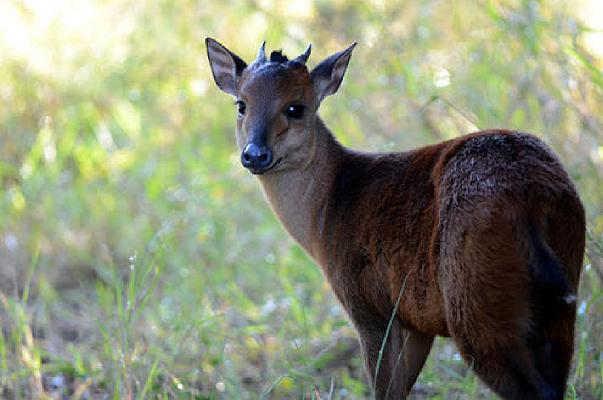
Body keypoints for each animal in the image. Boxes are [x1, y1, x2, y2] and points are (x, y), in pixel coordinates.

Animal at [206, 38, 584, 400]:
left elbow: (385, 390)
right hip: (560, 295)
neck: (327, 212)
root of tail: (529, 200)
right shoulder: (416, 321)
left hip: (475, 299)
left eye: (295, 108)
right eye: (241, 105)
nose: (254, 154)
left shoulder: (371, 309)